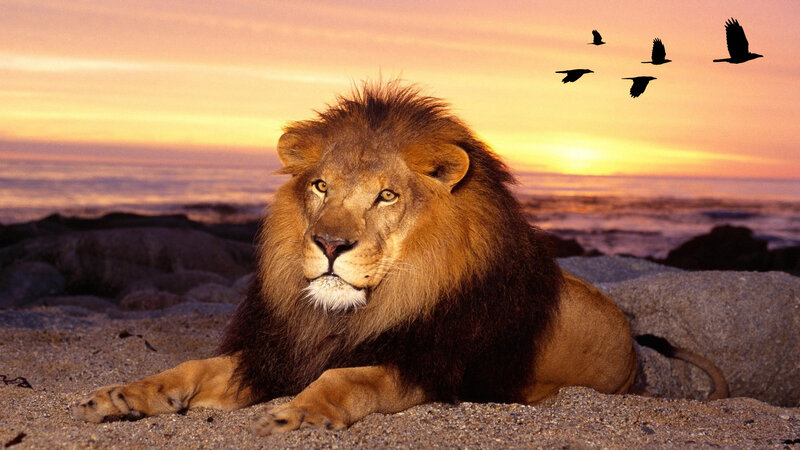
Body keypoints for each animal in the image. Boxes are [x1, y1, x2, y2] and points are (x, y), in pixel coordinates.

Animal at [71, 82, 726, 434]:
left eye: (386, 195)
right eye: (320, 187)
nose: (330, 245)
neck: (349, 314)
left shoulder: (427, 365)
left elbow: (348, 377)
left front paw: (295, 415)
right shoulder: (276, 351)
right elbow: (190, 369)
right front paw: (124, 395)